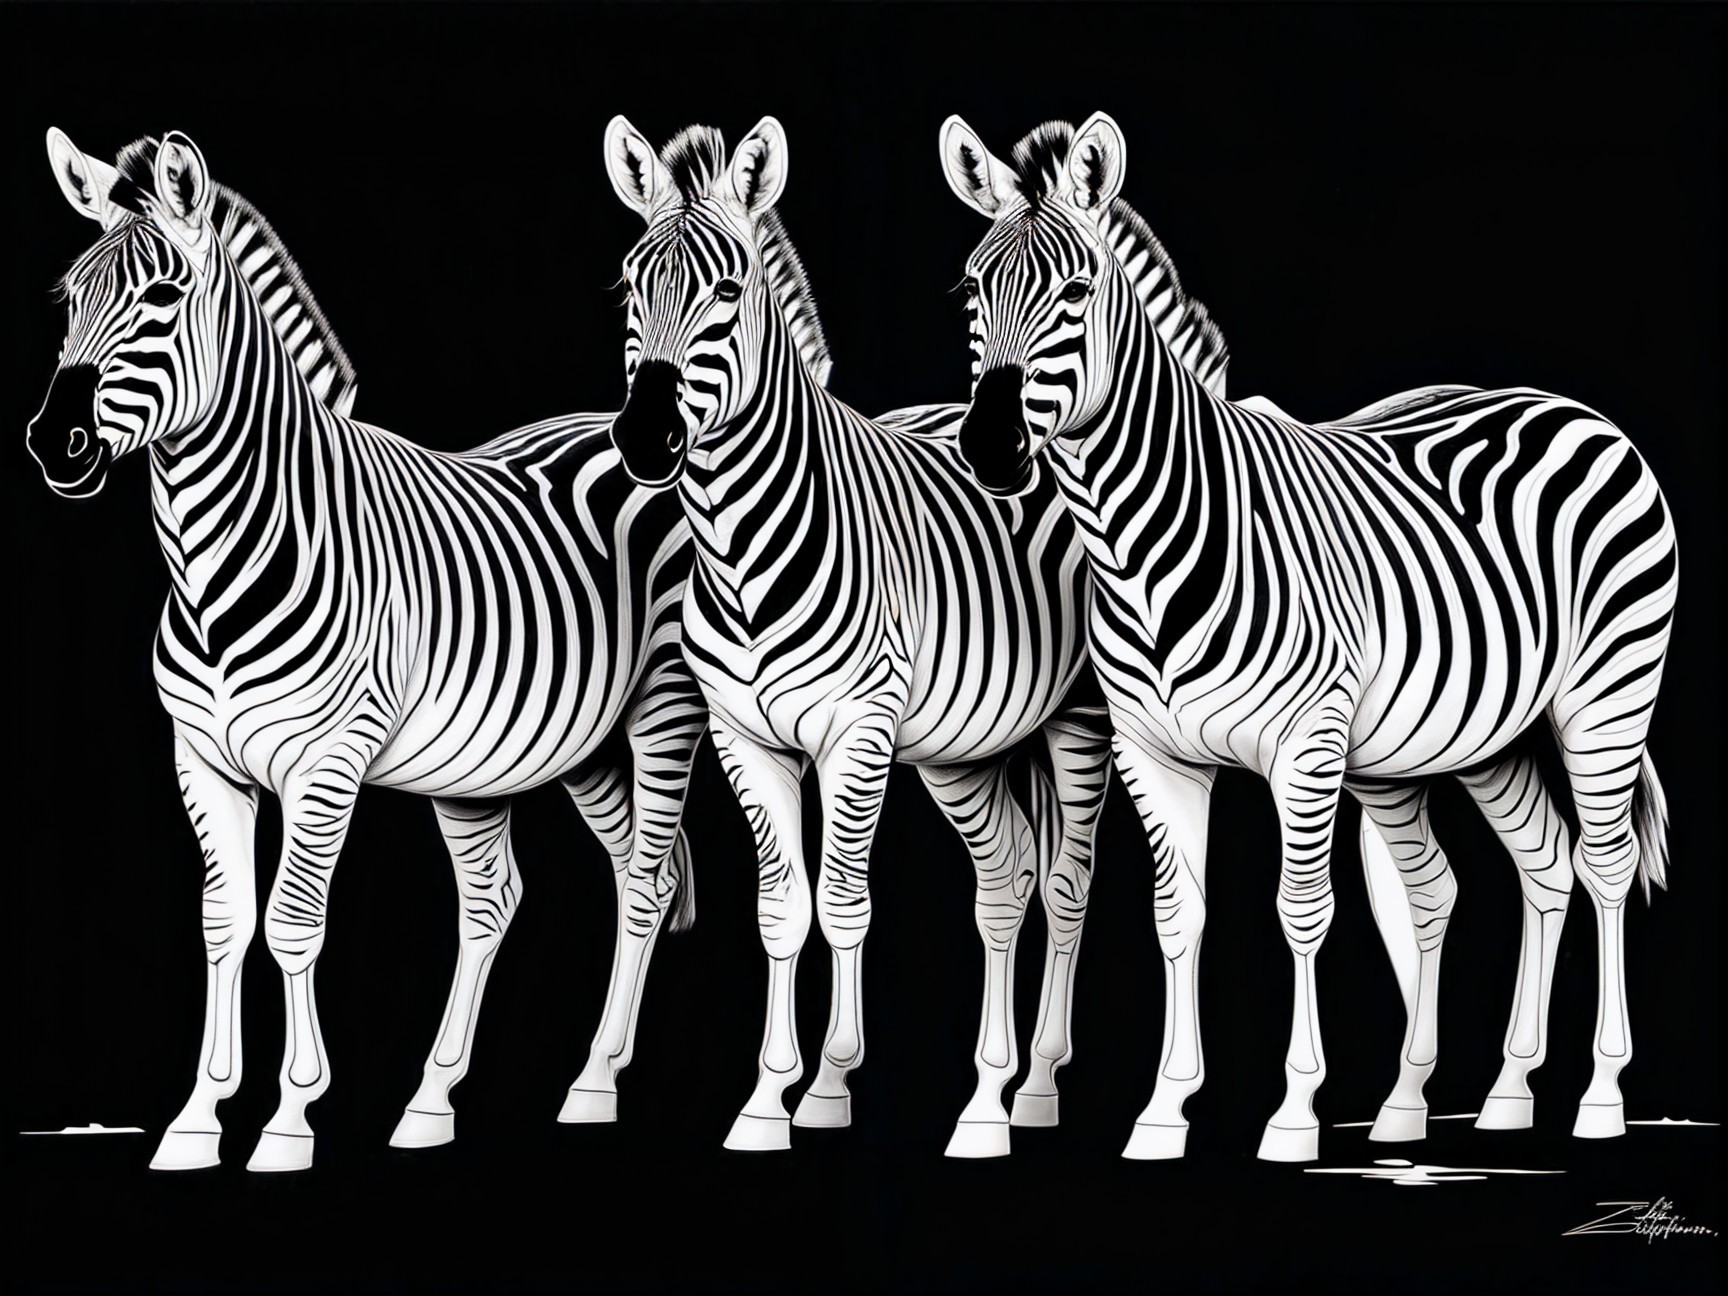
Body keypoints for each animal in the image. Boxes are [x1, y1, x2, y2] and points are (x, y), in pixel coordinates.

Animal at [28, 128, 708, 1172]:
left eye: (164, 296)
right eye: (70, 299)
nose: (53, 443)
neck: (223, 561)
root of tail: (629, 434)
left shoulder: (327, 760)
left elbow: (290, 924)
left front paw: (288, 1118)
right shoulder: (202, 762)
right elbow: (224, 922)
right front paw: (196, 1118)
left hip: (662, 704)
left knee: (645, 878)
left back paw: (594, 1084)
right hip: (543, 746)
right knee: (510, 895)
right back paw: (433, 1102)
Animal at [602, 115, 1129, 1158]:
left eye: (728, 289)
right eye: (633, 286)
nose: (641, 440)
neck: (739, 545)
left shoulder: (858, 731)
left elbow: (845, 898)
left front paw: (830, 1085)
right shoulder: (745, 737)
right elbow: (781, 906)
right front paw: (765, 1100)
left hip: (1078, 718)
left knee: (1069, 881)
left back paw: (1038, 1085)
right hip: (964, 747)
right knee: (1008, 876)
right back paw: (991, 1094)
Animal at [940, 112, 1677, 1162]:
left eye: (1076, 293)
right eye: (971, 290)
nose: (991, 450)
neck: (1139, 540)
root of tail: (1569, 407)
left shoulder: (1308, 745)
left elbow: (1302, 913)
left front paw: (1292, 1116)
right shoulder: (1153, 753)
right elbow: (1178, 916)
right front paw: (1162, 1112)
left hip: (1607, 693)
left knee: (1605, 867)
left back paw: (1601, 1097)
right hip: (1473, 733)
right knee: (1528, 869)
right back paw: (1478, 1096)